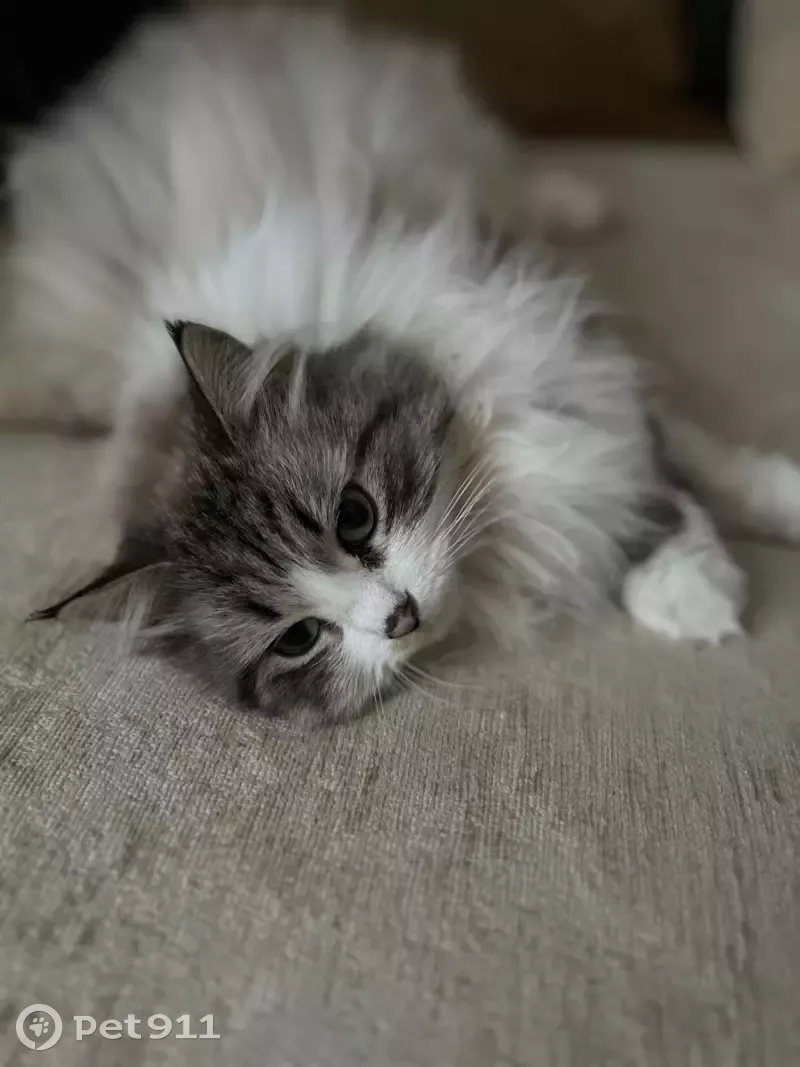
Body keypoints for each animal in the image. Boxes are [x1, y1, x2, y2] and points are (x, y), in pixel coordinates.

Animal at [4, 5, 800, 721]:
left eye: (354, 518)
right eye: (299, 638)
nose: (399, 618)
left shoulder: (544, 336)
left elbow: (677, 465)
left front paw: (707, 565)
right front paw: (692, 585)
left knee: (517, 169)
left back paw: (581, 201)